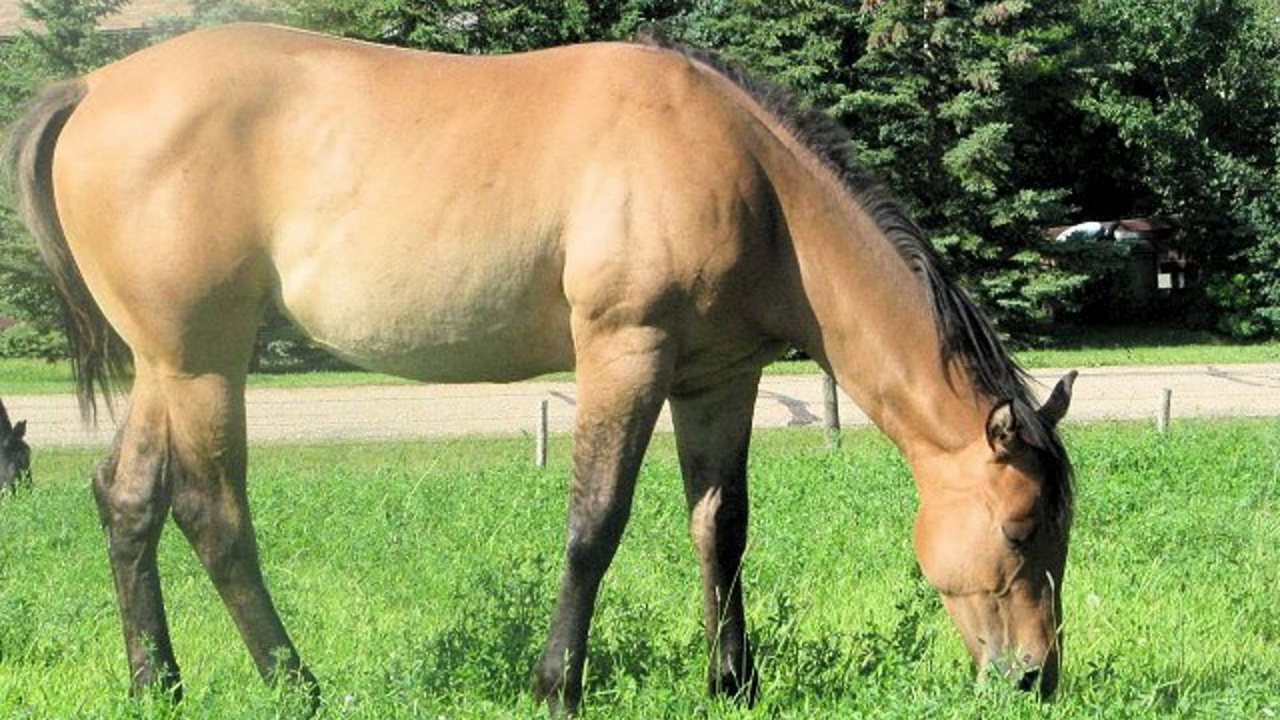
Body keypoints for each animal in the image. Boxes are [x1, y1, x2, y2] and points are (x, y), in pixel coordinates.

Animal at [4, 23, 1076, 713]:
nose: (1036, 679)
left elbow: (721, 530)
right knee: (212, 513)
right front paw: (558, 683)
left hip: (164, 363)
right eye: (1021, 530)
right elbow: (594, 523)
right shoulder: (624, 352)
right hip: (203, 363)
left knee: (128, 498)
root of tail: (92, 89)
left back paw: (157, 683)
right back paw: (295, 685)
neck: (748, 178)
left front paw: (733, 684)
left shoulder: (715, 378)